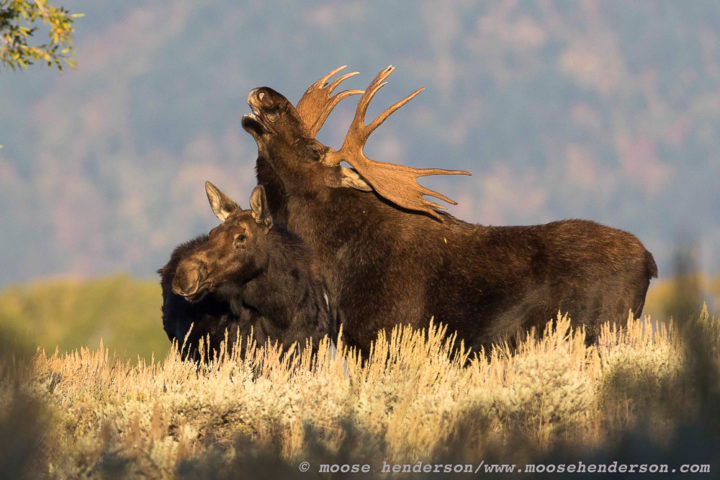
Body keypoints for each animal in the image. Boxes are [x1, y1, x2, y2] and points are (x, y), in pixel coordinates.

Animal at [242, 65, 660, 354]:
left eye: (313, 149)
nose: (265, 95)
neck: (333, 264)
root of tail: (650, 262)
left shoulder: (386, 335)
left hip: (604, 329)